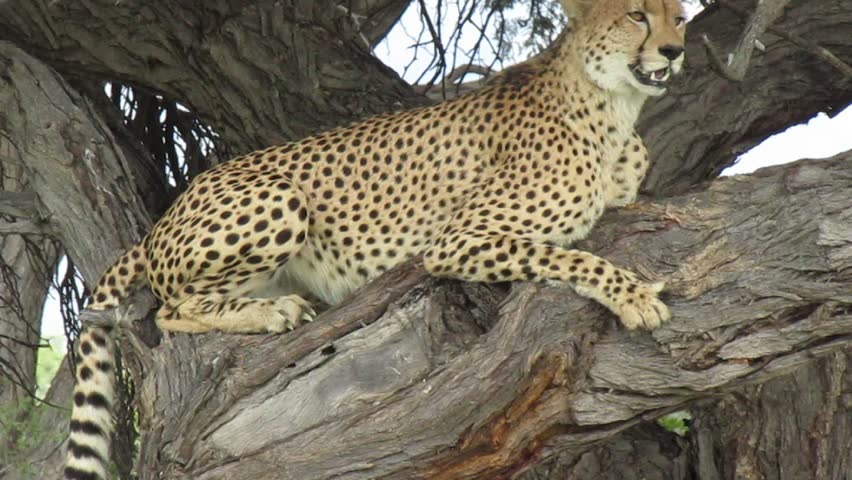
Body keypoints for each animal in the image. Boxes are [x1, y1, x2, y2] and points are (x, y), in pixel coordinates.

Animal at [64, 0, 685, 478]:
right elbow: (569, 255)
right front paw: (633, 296)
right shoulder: (457, 239)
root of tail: (167, 213)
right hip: (280, 195)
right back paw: (271, 312)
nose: (676, 51)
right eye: (636, 15)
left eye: (678, 17)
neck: (611, 107)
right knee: (169, 311)